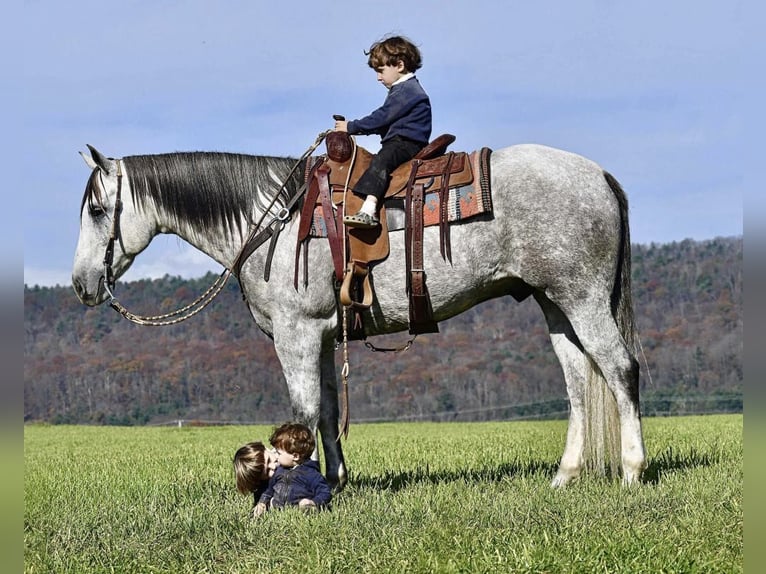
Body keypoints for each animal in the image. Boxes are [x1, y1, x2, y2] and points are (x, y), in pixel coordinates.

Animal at [73, 143, 648, 490]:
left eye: (98, 210)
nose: (82, 285)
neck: (273, 222)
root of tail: (598, 174)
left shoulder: (297, 335)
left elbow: (302, 411)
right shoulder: (326, 338)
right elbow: (328, 413)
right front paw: (336, 480)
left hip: (583, 298)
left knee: (621, 369)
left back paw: (632, 472)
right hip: (556, 304)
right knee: (579, 382)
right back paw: (564, 477)